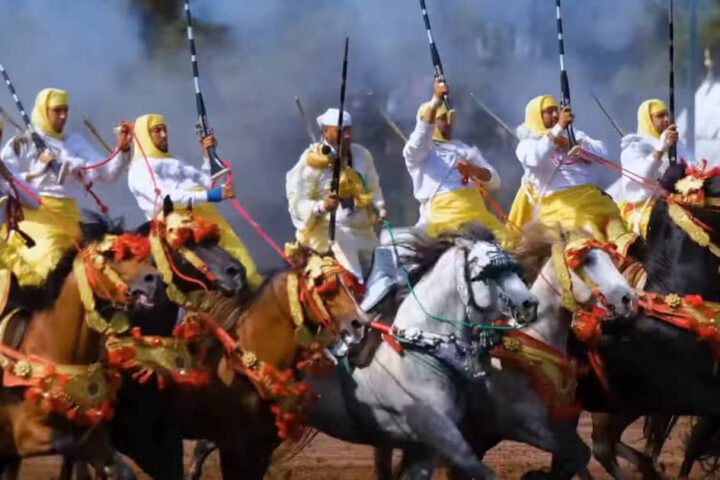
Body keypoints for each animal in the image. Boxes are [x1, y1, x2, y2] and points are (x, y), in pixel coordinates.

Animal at [0, 213, 163, 476]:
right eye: (111, 255)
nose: (155, 280)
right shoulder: (27, 437)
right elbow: (70, 446)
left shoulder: (93, 439)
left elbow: (116, 465)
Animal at [306, 226, 540, 480]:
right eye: (489, 272)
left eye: (513, 268)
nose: (530, 304)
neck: (417, 350)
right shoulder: (440, 433)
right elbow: (483, 471)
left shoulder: (425, 450)